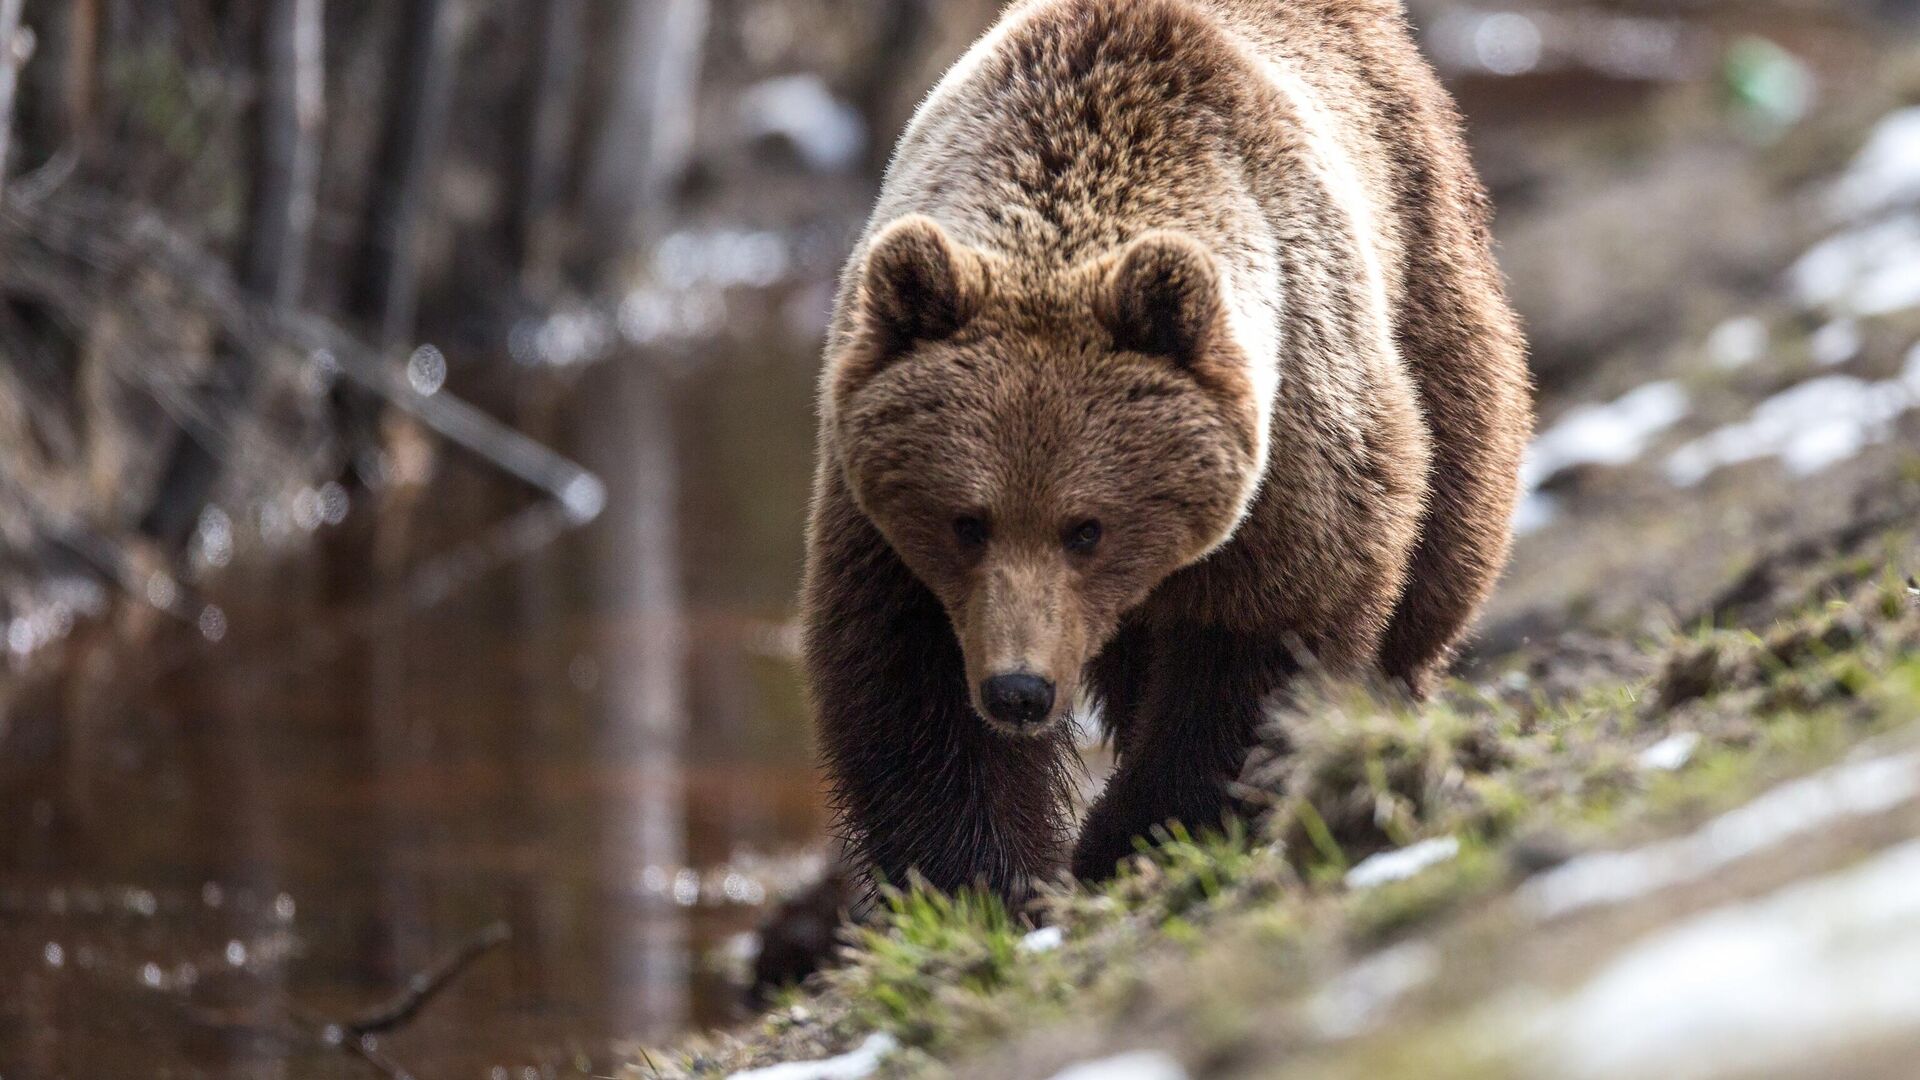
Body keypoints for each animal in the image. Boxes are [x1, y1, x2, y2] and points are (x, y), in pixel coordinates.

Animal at [802, 0, 1536, 899]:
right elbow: (906, 678)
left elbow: (1260, 648)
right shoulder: (876, 506)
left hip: (1427, 273)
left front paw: (1137, 834)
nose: (1019, 690)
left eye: (1087, 528)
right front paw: (989, 877)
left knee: (1445, 533)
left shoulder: (1295, 439)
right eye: (966, 521)